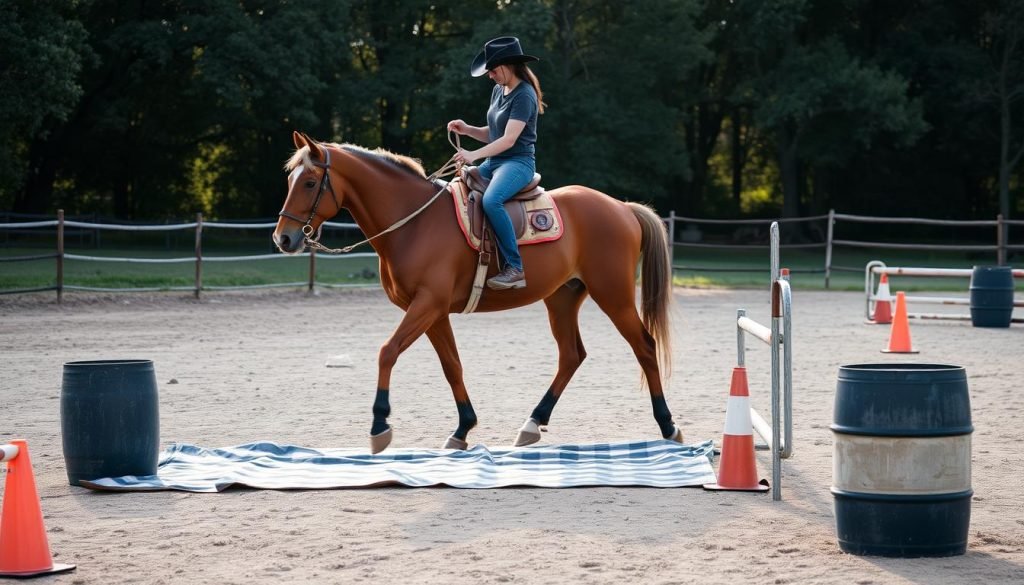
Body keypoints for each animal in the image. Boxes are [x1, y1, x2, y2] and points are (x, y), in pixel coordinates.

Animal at [273, 131, 683, 453]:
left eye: (310, 182)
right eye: (291, 179)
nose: (283, 238)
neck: (414, 223)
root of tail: (622, 208)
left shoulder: (427, 305)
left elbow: (387, 352)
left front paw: (379, 427)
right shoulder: (433, 311)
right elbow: (452, 366)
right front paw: (462, 429)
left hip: (613, 296)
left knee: (644, 346)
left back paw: (668, 426)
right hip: (563, 298)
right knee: (571, 355)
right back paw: (531, 424)